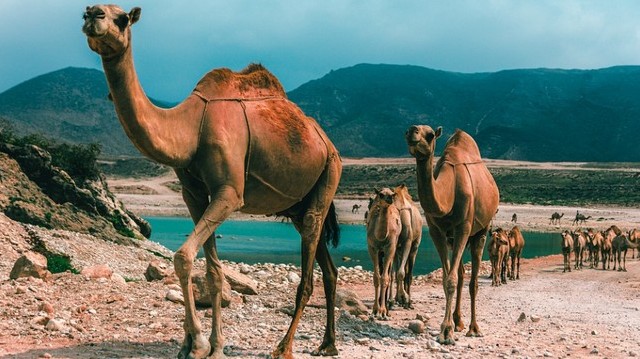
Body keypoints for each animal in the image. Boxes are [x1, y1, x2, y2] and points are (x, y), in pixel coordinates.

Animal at [85, 5, 344, 359]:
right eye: (88, 12)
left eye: (122, 18)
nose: (92, 14)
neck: (191, 128)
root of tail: (327, 143)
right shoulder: (193, 194)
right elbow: (213, 271)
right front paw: (207, 344)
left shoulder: (229, 193)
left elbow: (183, 257)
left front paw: (197, 344)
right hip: (298, 205)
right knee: (328, 269)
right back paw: (328, 344)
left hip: (329, 174)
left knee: (308, 274)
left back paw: (284, 348)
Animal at [364, 188, 400, 320]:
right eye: (381, 194)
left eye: (392, 194)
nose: (390, 199)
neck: (381, 237)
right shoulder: (372, 248)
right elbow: (376, 277)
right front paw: (375, 310)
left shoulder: (390, 248)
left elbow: (385, 278)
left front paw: (383, 312)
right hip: (380, 253)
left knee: (389, 274)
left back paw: (387, 307)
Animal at [404, 126, 500, 346]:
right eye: (406, 132)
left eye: (430, 135)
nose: (412, 132)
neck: (447, 194)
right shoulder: (436, 231)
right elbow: (447, 278)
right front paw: (448, 328)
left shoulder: (463, 227)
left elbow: (451, 280)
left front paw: (446, 332)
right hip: (454, 239)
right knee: (462, 275)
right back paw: (458, 322)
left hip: (481, 231)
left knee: (473, 281)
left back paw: (474, 328)